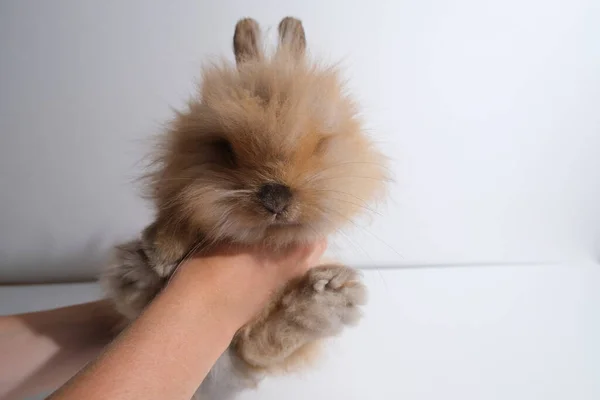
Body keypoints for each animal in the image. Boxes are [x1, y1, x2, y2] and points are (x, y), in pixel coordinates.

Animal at [101, 16, 386, 400]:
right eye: (226, 149)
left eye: (319, 144)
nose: (276, 196)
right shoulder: (187, 186)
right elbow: (186, 208)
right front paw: (162, 251)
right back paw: (146, 266)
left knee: (255, 348)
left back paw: (323, 298)